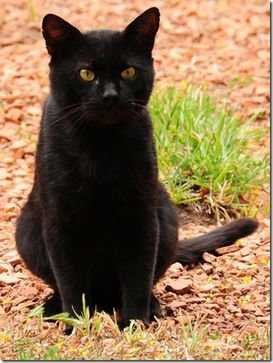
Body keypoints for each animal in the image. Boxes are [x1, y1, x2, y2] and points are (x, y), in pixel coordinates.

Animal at [14, 7, 258, 330]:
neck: (100, 146)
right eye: (86, 73)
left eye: (128, 72)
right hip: (27, 230)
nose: (110, 96)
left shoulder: (140, 212)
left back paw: (152, 306)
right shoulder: (60, 218)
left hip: (166, 218)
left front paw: (135, 323)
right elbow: (69, 279)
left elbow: (137, 275)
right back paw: (54, 308)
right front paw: (76, 323)